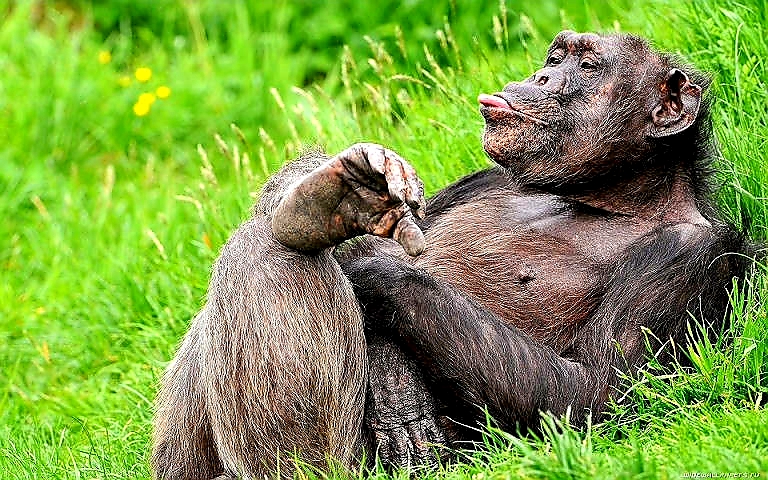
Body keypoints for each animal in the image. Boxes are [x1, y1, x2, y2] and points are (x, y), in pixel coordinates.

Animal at [151, 31, 754, 479]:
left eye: (586, 66)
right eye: (555, 57)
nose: (541, 77)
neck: (599, 198)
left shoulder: (692, 258)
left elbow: (592, 394)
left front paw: (375, 272)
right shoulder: (483, 177)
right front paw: (343, 193)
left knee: (274, 256)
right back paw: (321, 207)